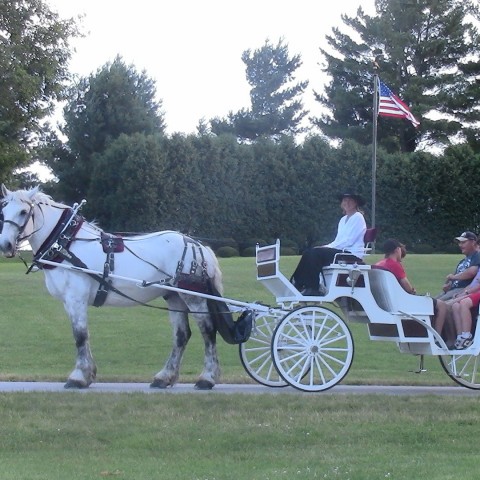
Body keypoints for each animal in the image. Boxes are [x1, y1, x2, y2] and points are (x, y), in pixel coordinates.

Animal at [0, 184, 224, 390]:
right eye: (3, 212)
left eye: (23, 212)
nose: (5, 245)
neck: (66, 244)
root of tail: (198, 245)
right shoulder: (69, 302)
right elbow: (83, 335)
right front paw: (88, 374)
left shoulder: (76, 298)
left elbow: (80, 336)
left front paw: (78, 377)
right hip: (174, 296)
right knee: (181, 335)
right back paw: (164, 377)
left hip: (193, 296)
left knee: (208, 330)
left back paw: (207, 378)